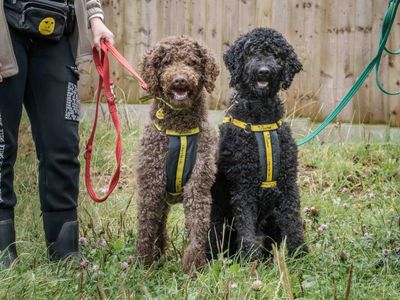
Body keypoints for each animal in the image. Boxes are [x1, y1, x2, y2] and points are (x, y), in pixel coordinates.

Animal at [136, 35, 220, 272]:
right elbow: (146, 229)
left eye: (193, 62)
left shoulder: (197, 187)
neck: (180, 131)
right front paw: (141, 266)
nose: (180, 80)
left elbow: (197, 230)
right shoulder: (151, 187)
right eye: (166, 63)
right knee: (158, 226)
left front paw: (194, 267)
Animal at [208, 27, 308, 258]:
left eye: (276, 55)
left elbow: (293, 221)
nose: (264, 71)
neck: (260, 118)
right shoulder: (243, 186)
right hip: (217, 221)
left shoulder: (288, 182)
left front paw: (299, 253)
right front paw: (248, 258)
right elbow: (245, 226)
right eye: (251, 52)